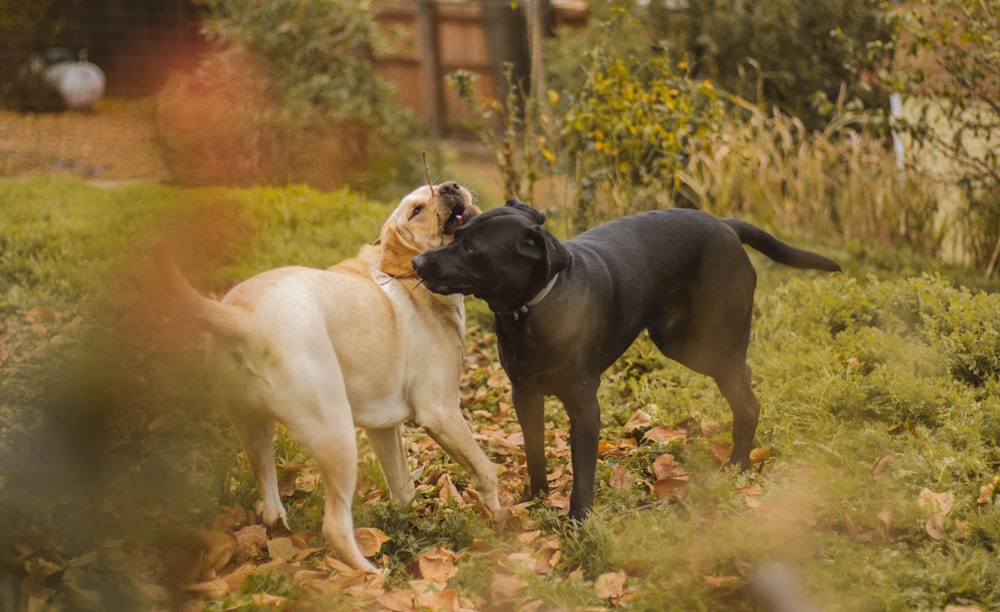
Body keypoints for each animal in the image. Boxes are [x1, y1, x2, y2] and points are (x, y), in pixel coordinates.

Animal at [410, 201, 840, 520]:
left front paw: (579, 523)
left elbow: (583, 473)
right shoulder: (524, 395)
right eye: (455, 233)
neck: (533, 310)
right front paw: (535, 499)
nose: (418, 263)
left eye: (472, 249)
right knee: (744, 375)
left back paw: (738, 465)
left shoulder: (585, 405)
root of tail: (726, 225)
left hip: (710, 343)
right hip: (682, 343)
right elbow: (534, 453)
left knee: (747, 402)